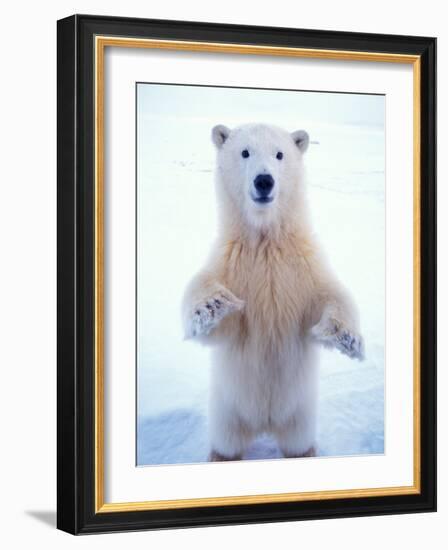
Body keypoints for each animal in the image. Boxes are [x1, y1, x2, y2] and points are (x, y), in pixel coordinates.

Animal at [182, 124, 364, 462]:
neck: (265, 240)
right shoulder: (231, 262)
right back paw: (220, 455)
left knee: (298, 442)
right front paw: (213, 303)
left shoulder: (302, 266)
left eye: (279, 154)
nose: (264, 181)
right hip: (227, 409)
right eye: (244, 152)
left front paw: (346, 337)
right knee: (227, 442)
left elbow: (330, 294)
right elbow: (212, 310)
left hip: (301, 413)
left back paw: (306, 452)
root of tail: (265, 424)